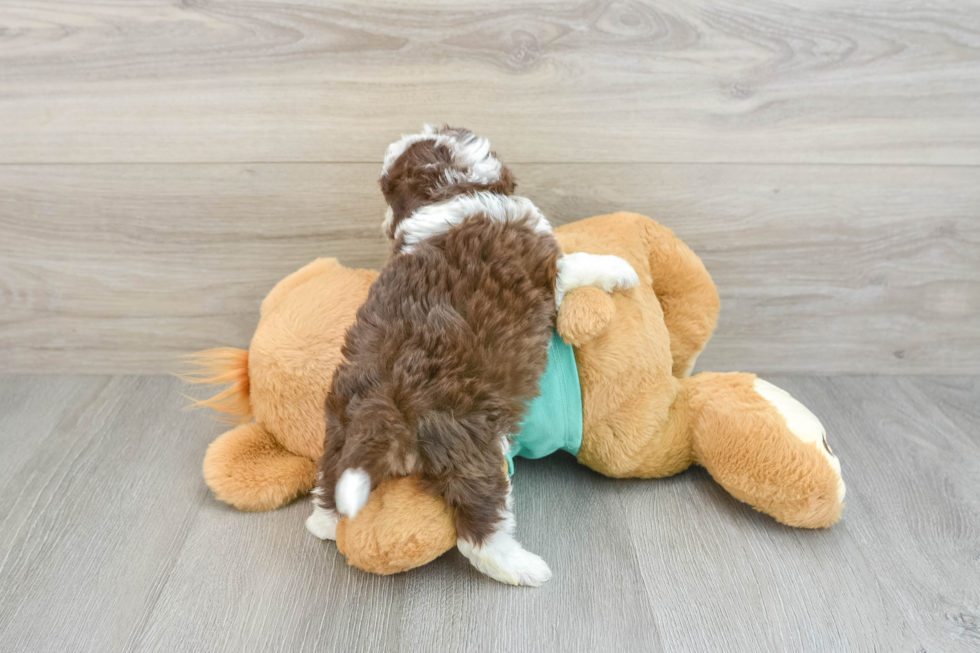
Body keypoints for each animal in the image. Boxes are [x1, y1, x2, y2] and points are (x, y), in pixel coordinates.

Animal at [310, 125, 640, 584]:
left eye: (388, 196)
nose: (384, 224)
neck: (448, 191)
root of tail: (384, 405)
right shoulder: (548, 269)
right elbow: (580, 265)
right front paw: (623, 270)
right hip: (469, 447)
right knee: (478, 530)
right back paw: (524, 567)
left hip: (338, 430)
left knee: (329, 485)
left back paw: (323, 522)